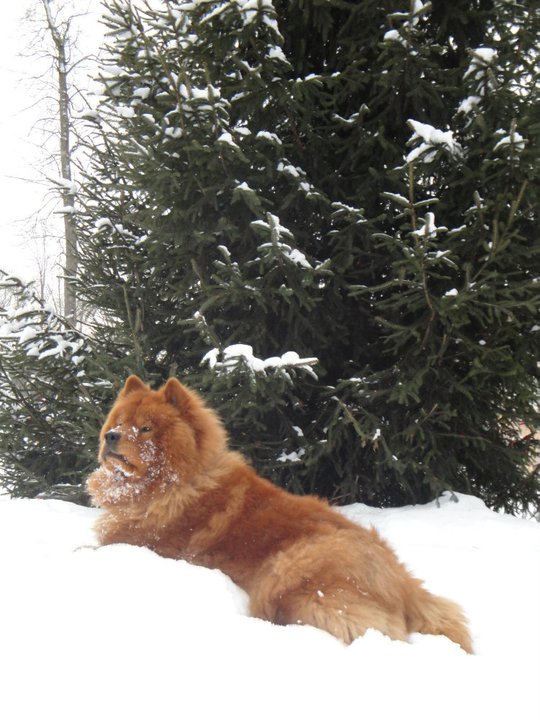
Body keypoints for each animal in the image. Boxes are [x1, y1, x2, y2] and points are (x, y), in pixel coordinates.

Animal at [85, 376, 472, 652]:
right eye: (118, 422)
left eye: (145, 428)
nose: (111, 436)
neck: (177, 484)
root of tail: (405, 584)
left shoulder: (144, 544)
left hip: (288, 570)